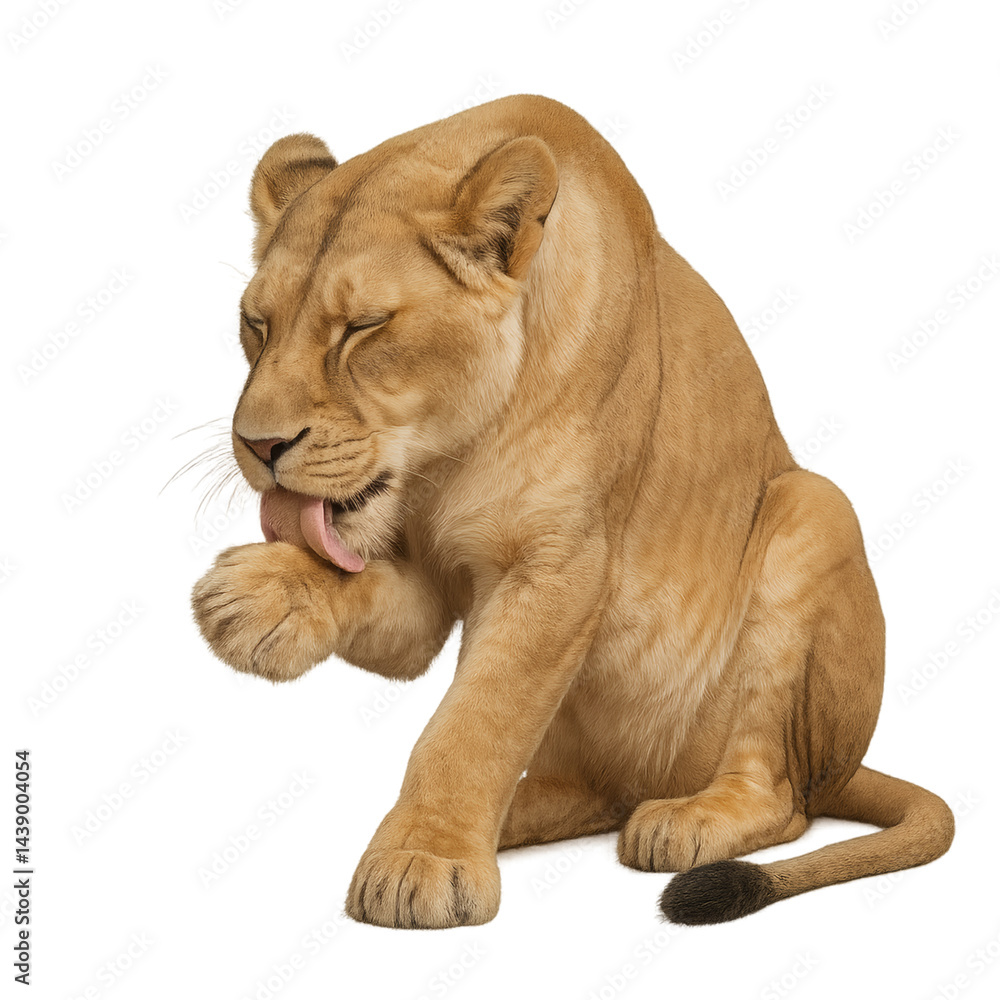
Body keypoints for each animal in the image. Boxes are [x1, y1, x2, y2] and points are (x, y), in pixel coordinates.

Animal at [191, 94, 954, 928]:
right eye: (256, 324)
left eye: (363, 327)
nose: (259, 445)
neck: (446, 453)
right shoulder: (425, 584)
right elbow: (392, 622)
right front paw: (253, 598)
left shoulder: (560, 564)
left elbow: (475, 721)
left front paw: (424, 861)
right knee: (594, 797)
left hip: (815, 511)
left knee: (783, 798)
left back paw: (687, 820)